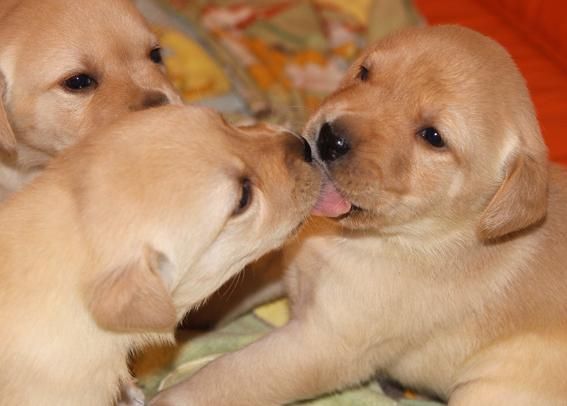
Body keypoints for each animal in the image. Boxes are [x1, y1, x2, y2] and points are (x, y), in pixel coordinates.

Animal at [150, 27, 567, 404]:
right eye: (365, 73)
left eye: (433, 137)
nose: (329, 139)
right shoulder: (289, 261)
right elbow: (240, 281)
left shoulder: (321, 344)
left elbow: (226, 375)